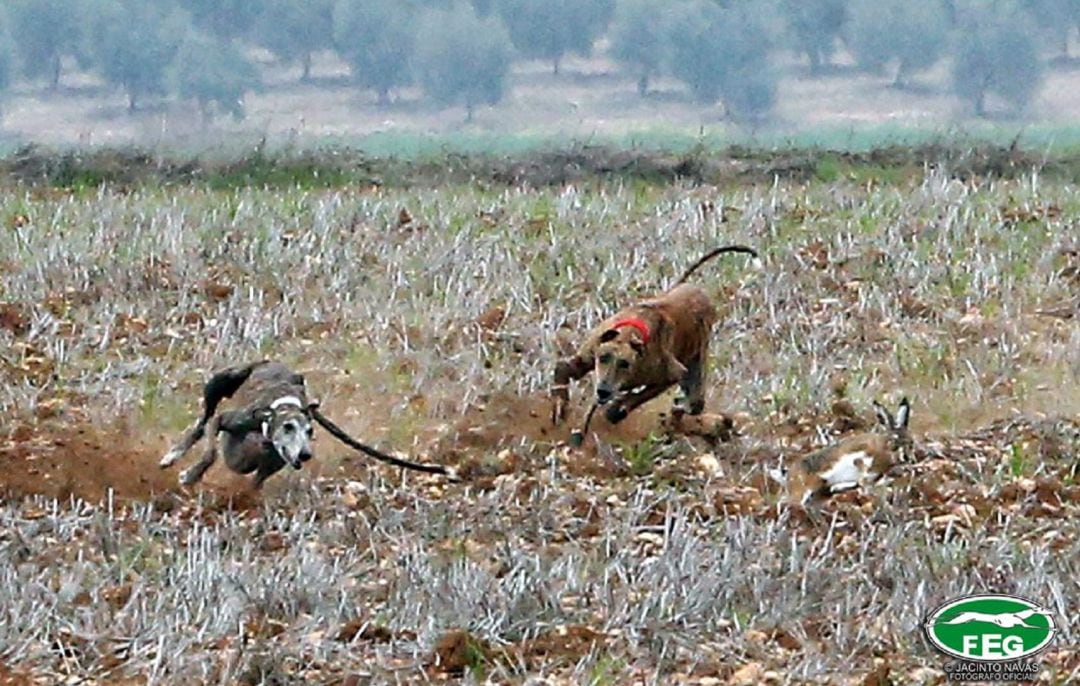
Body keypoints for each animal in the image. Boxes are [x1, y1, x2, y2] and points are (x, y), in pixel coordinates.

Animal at [552, 245, 756, 429]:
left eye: (625, 363)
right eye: (603, 358)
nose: (603, 392)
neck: (630, 333)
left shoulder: (670, 373)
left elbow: (638, 396)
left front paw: (618, 408)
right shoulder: (591, 352)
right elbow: (563, 369)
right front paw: (560, 407)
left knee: (693, 404)